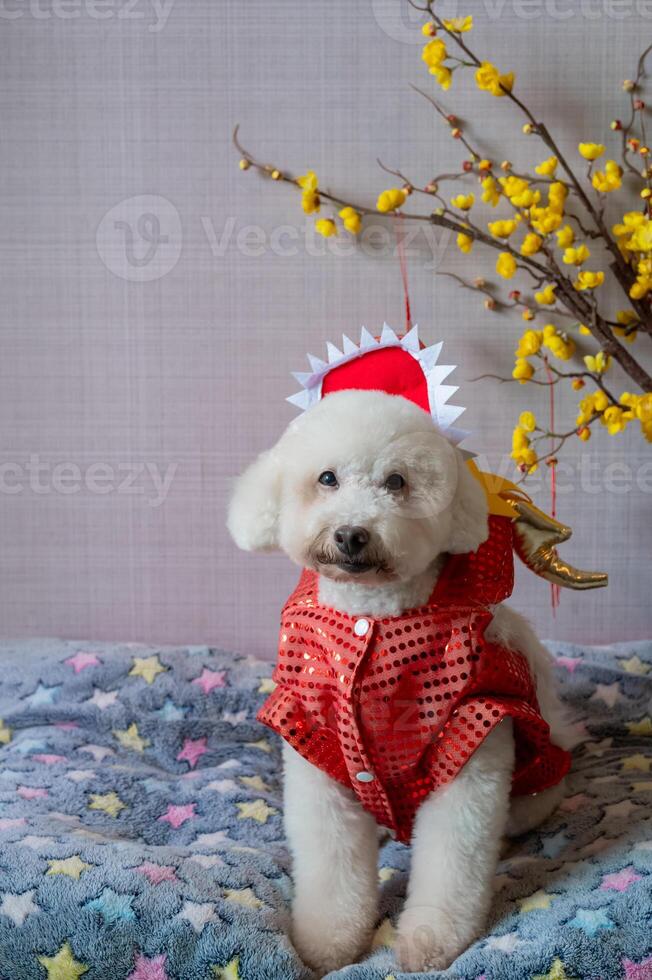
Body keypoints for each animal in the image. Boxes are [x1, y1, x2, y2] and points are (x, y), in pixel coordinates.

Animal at [228, 388, 572, 972]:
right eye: (327, 479)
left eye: (396, 482)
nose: (352, 533)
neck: (376, 614)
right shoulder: (315, 744)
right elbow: (331, 866)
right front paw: (327, 941)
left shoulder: (471, 736)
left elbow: (453, 862)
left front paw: (430, 939)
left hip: (532, 787)